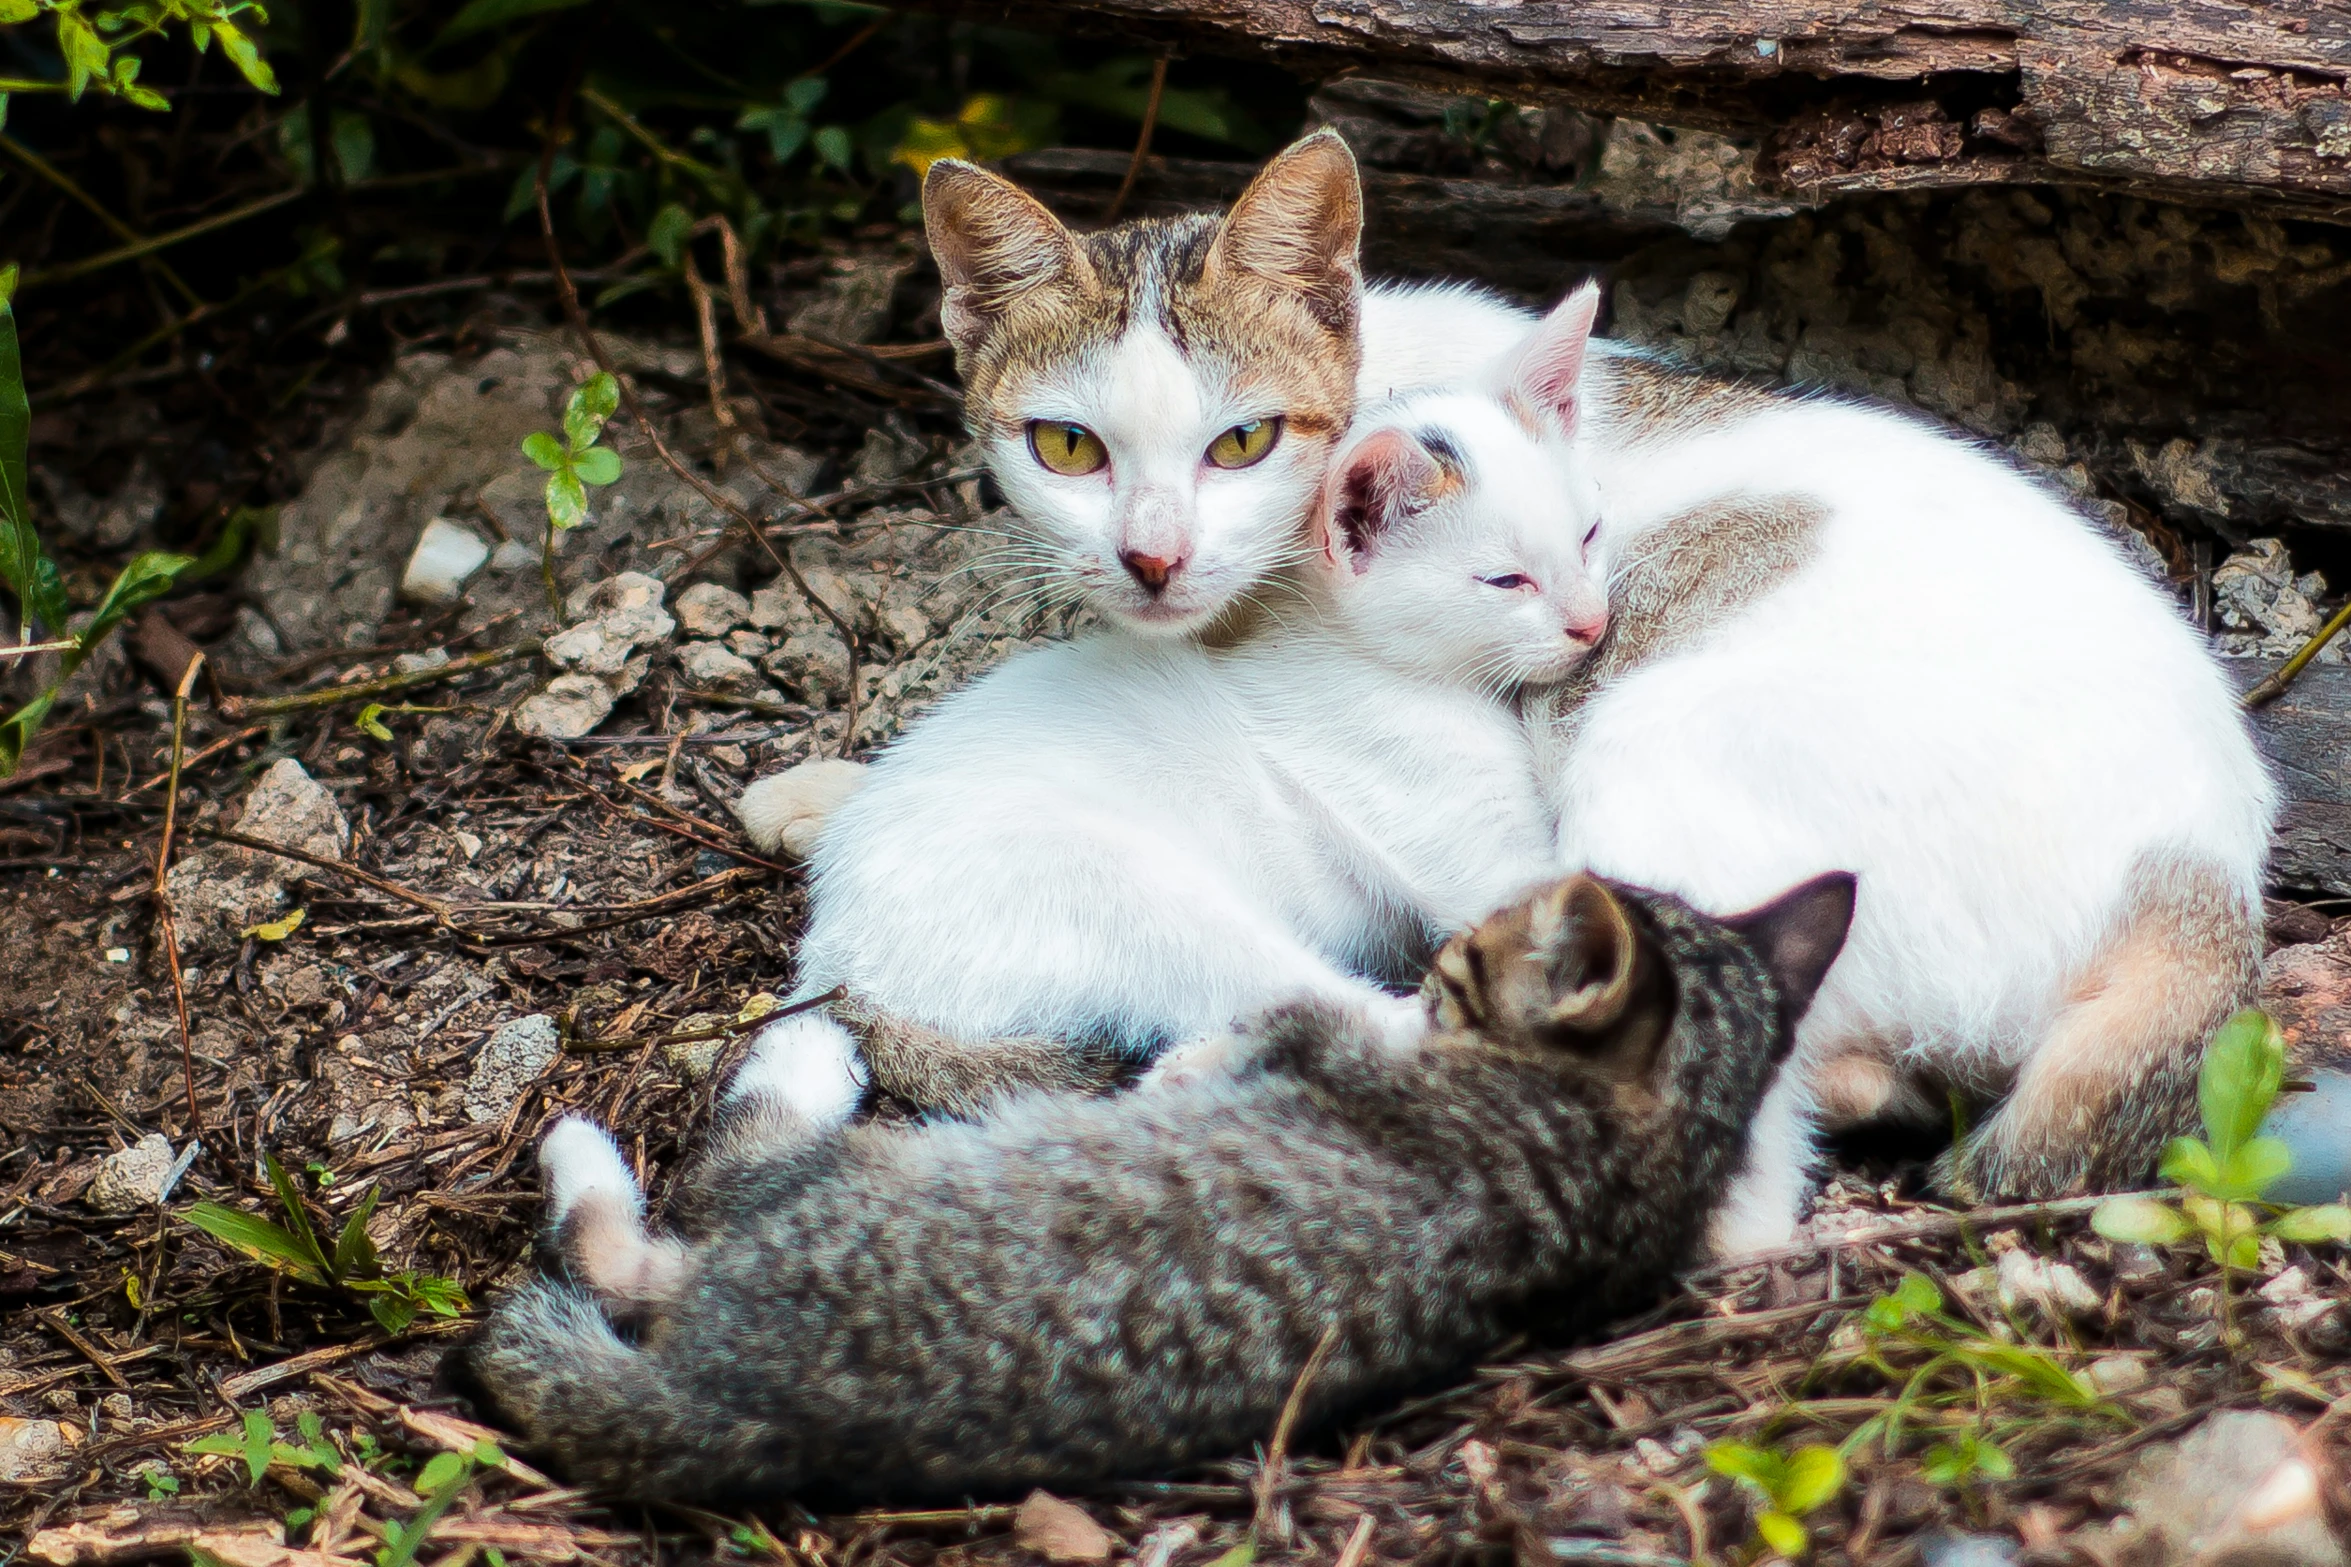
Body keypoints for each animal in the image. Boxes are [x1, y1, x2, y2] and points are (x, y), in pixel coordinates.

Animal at [463, 878, 1852, 1503]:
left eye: (1469, 957)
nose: (1446, 942)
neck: (1614, 1142)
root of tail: (751, 1412)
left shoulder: (1312, 1041)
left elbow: (1275, 1024)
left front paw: (1186, 1063)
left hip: (845, 1179)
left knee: (670, 1217)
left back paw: (763, 1070)